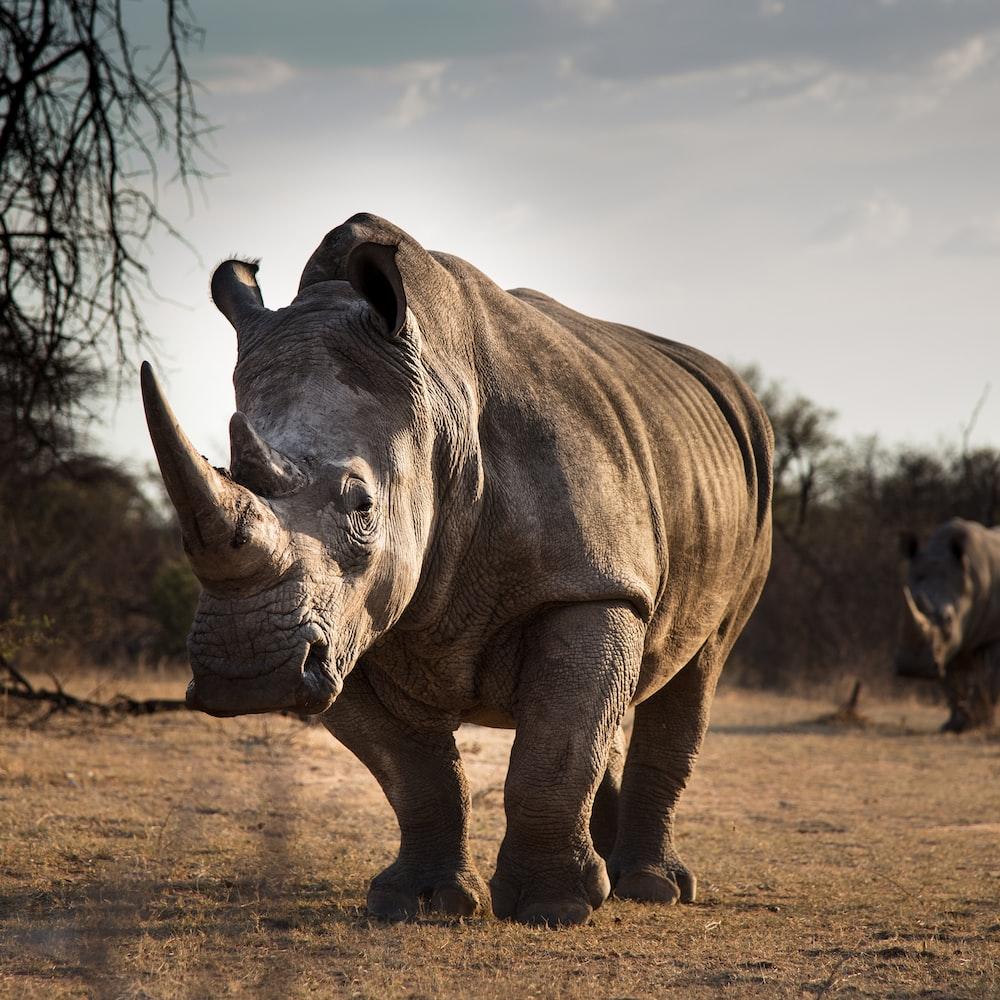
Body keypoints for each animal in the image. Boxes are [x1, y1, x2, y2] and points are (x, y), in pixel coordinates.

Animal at [142, 213, 773, 926]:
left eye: (363, 506)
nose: (246, 674)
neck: (439, 407)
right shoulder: (344, 627)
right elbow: (418, 775)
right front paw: (419, 902)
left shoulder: (590, 585)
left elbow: (554, 753)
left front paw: (553, 908)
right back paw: (615, 873)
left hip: (751, 481)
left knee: (699, 664)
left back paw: (649, 886)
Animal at [896, 518, 1000, 732]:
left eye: (949, 618)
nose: (912, 667)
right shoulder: (944, 647)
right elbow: (952, 683)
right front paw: (954, 725)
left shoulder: (993, 635)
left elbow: (990, 677)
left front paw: (978, 724)